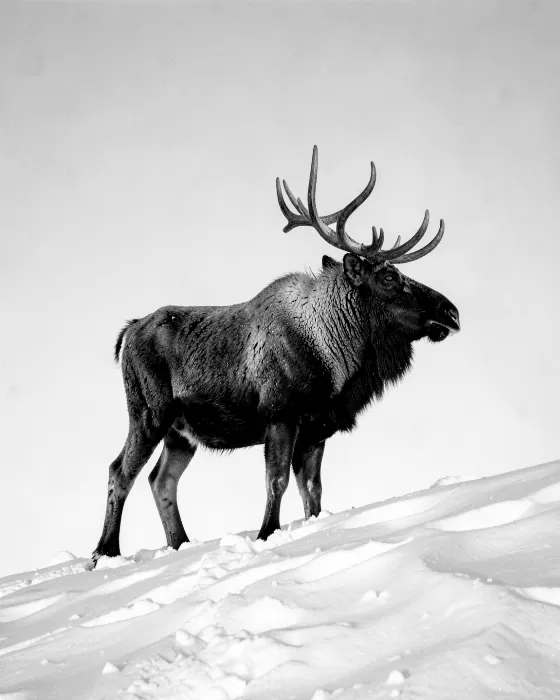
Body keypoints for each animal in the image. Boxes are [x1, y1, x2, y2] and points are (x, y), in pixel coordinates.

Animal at [91, 146, 460, 565]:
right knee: (120, 471)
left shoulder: (318, 425)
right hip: (149, 413)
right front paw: (267, 533)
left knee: (161, 480)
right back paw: (104, 552)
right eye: (388, 277)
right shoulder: (280, 414)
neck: (336, 358)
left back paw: (180, 542)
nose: (451, 312)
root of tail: (128, 331)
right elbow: (277, 480)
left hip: (181, 431)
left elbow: (313, 490)